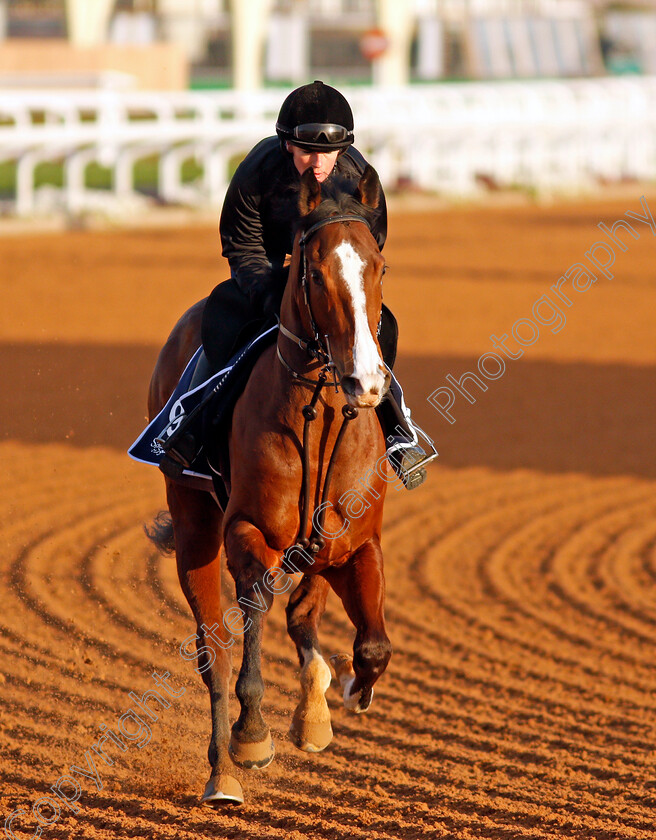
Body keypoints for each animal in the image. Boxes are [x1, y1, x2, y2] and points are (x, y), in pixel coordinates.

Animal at [148, 166, 392, 808]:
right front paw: (253, 734)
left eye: (379, 266)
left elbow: (370, 644)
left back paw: (314, 711)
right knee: (214, 651)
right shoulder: (246, 532)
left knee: (303, 616)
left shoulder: (355, 543)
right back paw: (222, 774)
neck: (321, 417)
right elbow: (252, 622)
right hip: (193, 523)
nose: (365, 381)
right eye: (315, 271)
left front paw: (344, 694)